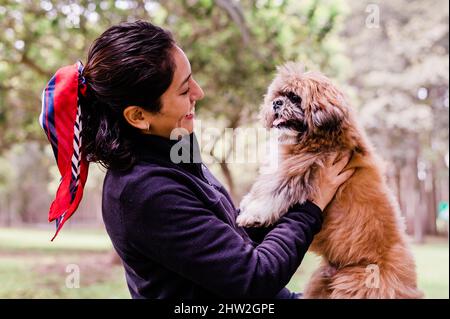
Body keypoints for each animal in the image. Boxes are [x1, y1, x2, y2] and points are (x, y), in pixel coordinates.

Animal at [237, 63, 424, 300]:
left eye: (295, 97)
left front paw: (251, 215)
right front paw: (247, 204)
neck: (317, 138)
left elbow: (272, 194)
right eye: (278, 95)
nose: (276, 103)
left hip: (356, 284)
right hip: (323, 281)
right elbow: (264, 187)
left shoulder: (299, 173)